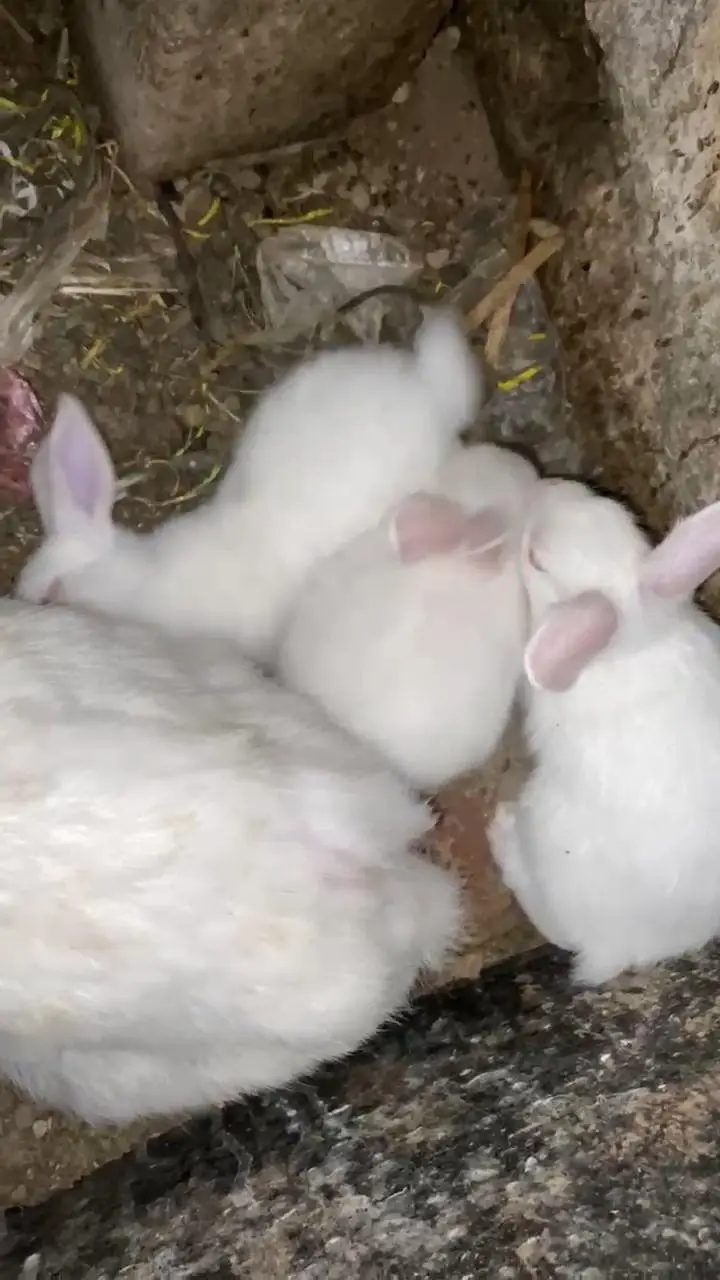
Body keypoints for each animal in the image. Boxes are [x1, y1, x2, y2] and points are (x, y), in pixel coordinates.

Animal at [488, 475, 720, 985]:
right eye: (612, 506)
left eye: (535, 558)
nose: (545, 482)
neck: (628, 643)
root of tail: (619, 952)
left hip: (543, 826)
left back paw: (501, 830)